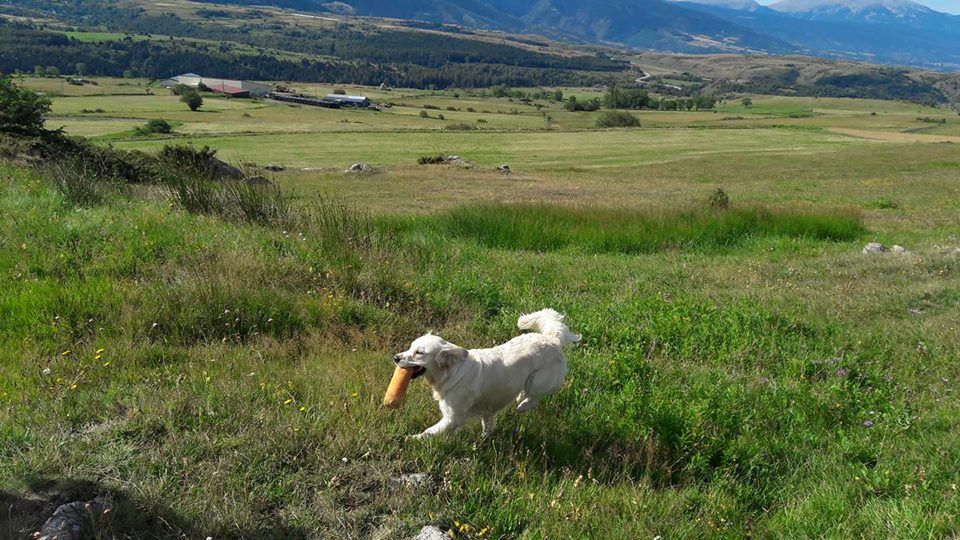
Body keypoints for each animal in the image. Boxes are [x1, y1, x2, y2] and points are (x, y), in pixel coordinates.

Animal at [394, 308, 580, 438]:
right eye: (410, 347)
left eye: (419, 353)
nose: (396, 357)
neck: (451, 373)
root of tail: (552, 339)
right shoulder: (486, 409)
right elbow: (488, 423)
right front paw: (484, 438)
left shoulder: (453, 417)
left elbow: (429, 431)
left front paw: (412, 438)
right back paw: (520, 398)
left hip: (539, 381)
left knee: (536, 396)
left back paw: (523, 405)